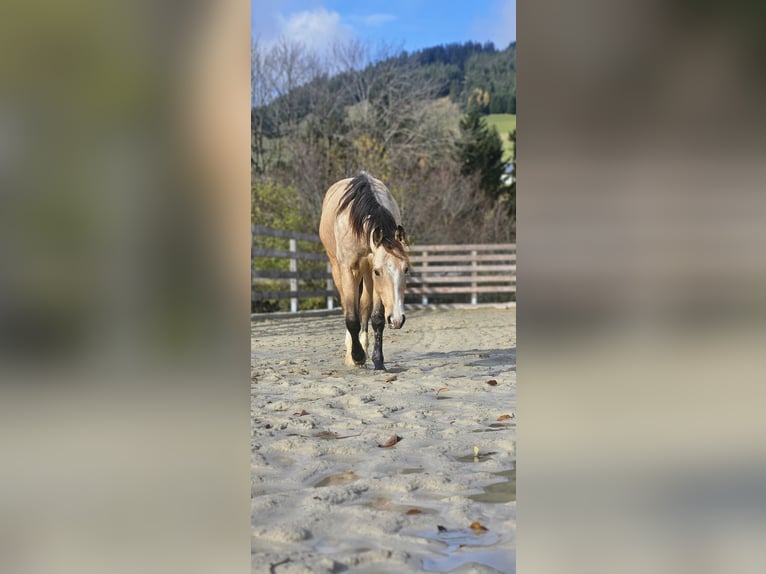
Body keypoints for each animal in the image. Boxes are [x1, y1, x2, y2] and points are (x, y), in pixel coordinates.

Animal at [319, 172, 410, 370]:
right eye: (378, 272)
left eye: (406, 269)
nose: (397, 319)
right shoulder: (351, 270)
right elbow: (351, 317)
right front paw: (357, 356)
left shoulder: (370, 270)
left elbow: (376, 318)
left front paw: (378, 360)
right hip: (338, 269)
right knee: (347, 306)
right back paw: (352, 353)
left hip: (365, 275)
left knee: (365, 306)